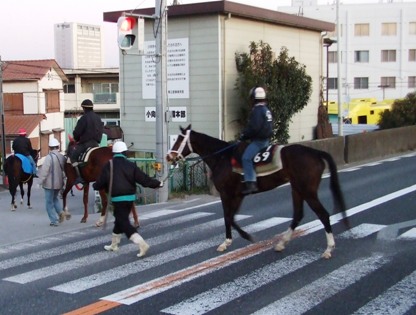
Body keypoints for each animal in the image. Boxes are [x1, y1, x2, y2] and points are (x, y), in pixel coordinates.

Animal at [167, 124, 350, 260]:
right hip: (297, 188)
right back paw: (281, 243)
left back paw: (328, 249)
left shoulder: (227, 193)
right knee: (298, 215)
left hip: (307, 191)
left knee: (323, 215)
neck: (222, 157)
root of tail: (315, 153)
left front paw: (236, 240)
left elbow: (228, 217)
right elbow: (231, 217)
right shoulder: (238, 195)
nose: (169, 156)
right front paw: (233, 240)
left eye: (178, 139)